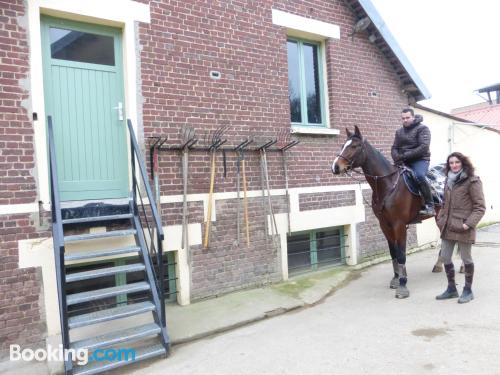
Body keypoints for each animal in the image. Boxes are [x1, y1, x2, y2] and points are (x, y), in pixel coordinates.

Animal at [334, 126, 440, 300]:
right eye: (343, 144)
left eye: (354, 146)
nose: (335, 167)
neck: (388, 184)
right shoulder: (384, 224)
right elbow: (393, 253)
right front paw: (396, 279)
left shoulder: (399, 224)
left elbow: (401, 254)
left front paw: (403, 286)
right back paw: (440, 265)